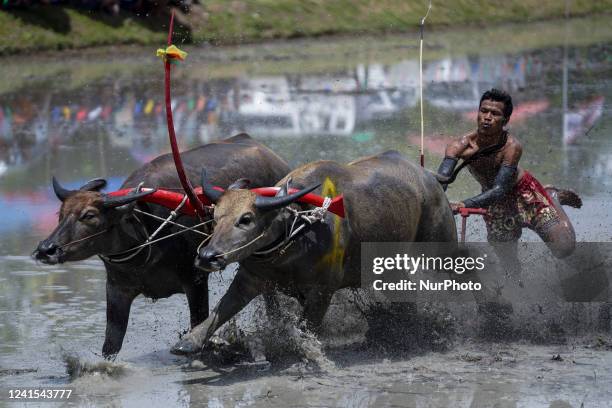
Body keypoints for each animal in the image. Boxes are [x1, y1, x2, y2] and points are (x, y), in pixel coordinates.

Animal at [32, 134, 290, 356]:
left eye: (89, 215)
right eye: (61, 214)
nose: (46, 249)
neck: (145, 235)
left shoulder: (195, 281)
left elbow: (198, 323)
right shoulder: (116, 289)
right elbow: (111, 345)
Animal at [170, 149, 456, 354]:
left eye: (246, 219)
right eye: (215, 217)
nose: (208, 256)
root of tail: (429, 177)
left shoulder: (322, 291)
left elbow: (307, 329)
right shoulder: (250, 278)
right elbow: (223, 309)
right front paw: (189, 342)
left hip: (441, 246)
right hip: (388, 268)